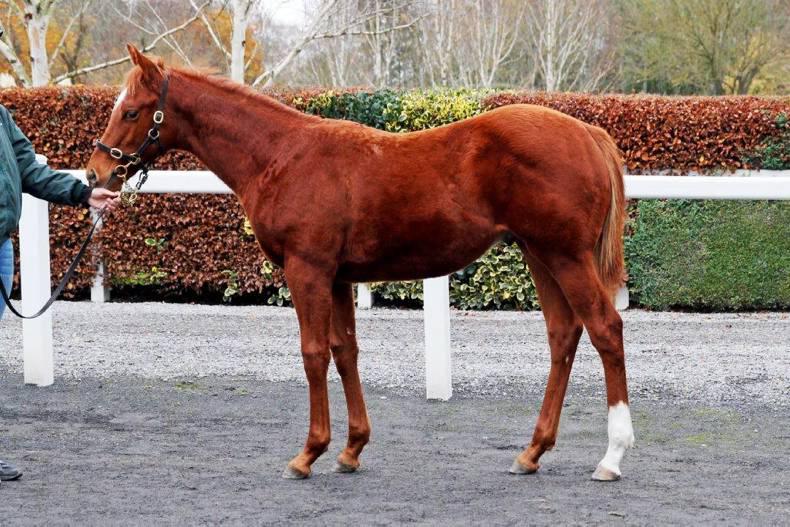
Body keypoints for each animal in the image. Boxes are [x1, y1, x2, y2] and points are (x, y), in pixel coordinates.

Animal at [87, 45, 634, 482]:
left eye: (131, 112)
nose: (96, 173)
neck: (281, 156)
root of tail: (588, 132)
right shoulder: (337, 278)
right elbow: (344, 351)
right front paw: (351, 449)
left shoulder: (306, 270)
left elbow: (313, 354)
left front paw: (308, 454)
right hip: (540, 255)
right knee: (564, 335)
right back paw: (532, 451)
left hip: (566, 256)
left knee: (605, 328)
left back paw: (611, 457)